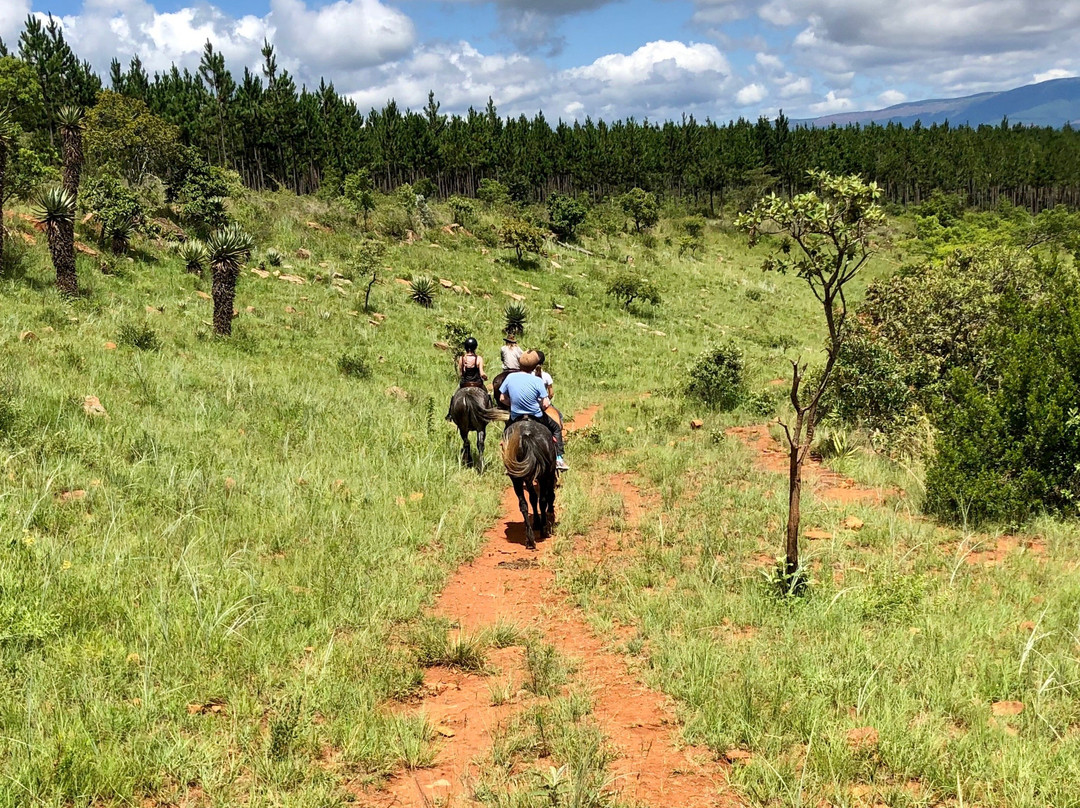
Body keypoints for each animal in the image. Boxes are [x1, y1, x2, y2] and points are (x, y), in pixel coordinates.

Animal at [500, 418, 557, 550]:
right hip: (544, 475)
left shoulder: (527, 478)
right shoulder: (548, 474)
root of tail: (526, 435)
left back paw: (530, 539)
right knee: (543, 500)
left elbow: (532, 498)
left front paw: (536, 522)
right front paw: (548, 515)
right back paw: (544, 530)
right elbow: (547, 496)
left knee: (523, 505)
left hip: (516, 478)